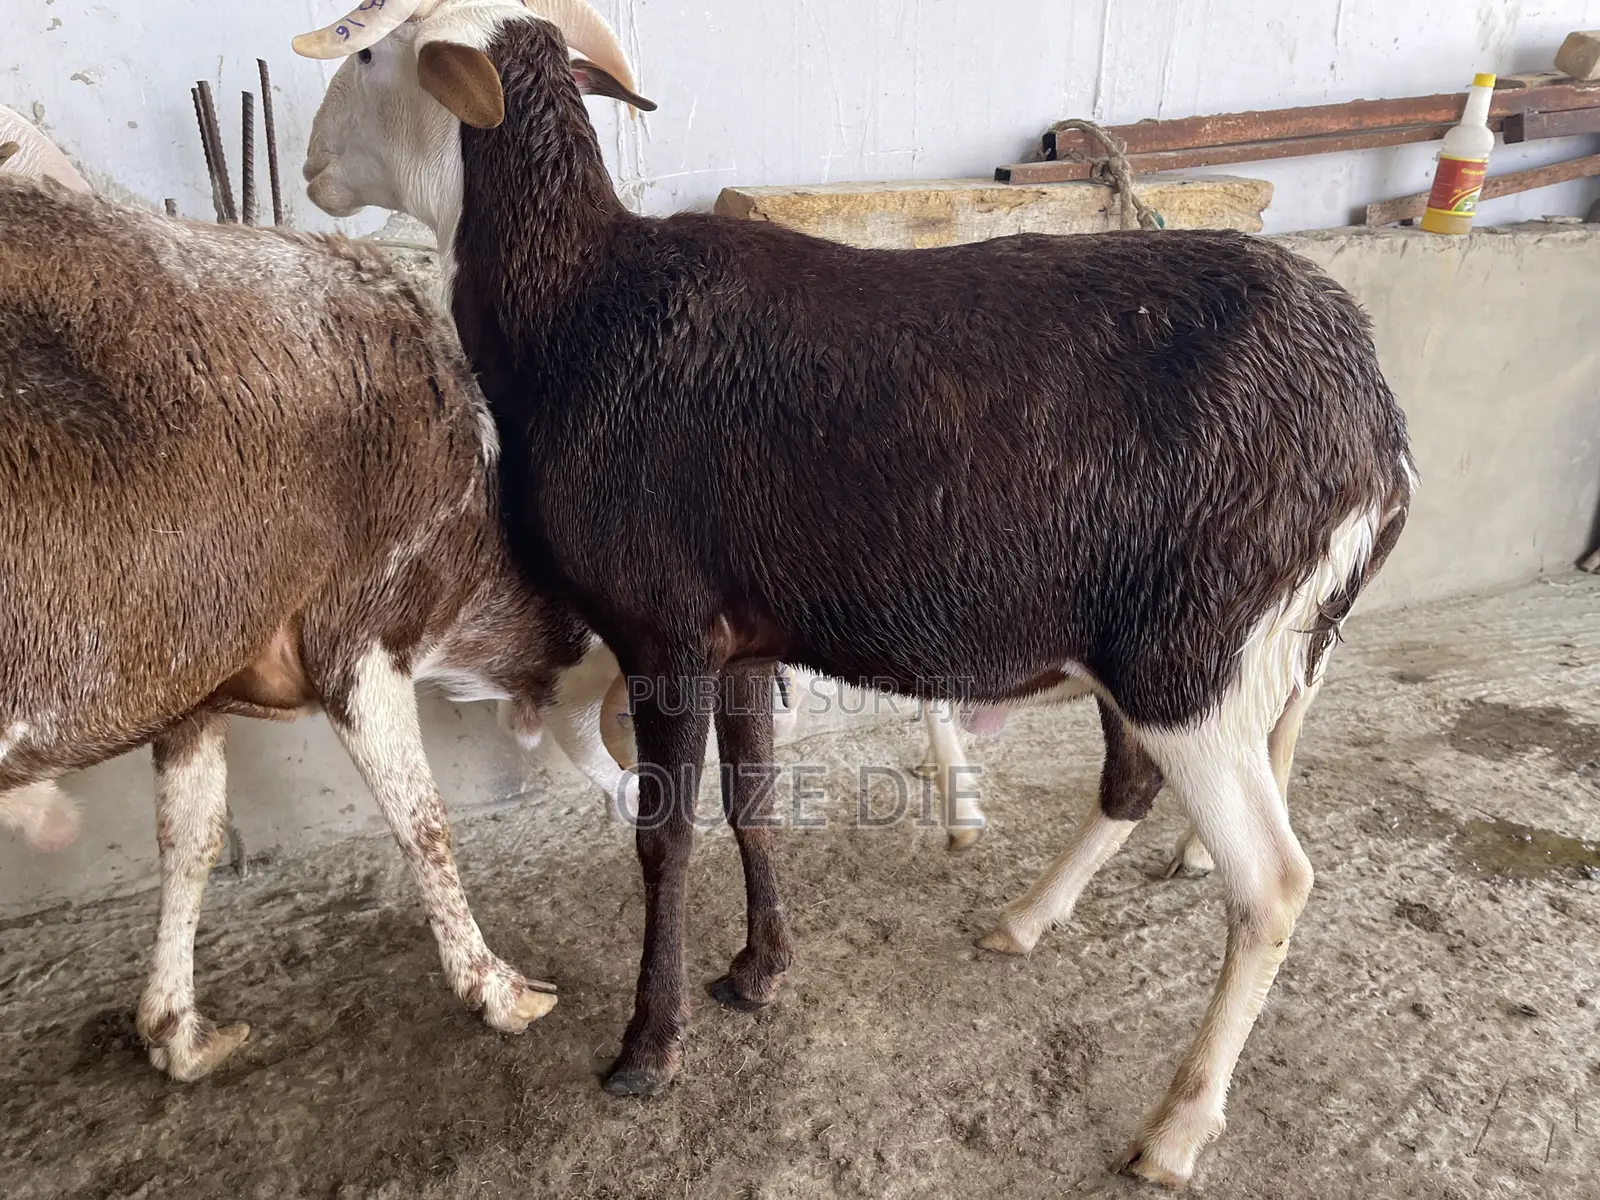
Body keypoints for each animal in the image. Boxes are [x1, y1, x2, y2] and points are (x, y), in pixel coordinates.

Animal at [0, 174, 635, 1082]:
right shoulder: (362, 635)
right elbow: (422, 818)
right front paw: (499, 988)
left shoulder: (192, 682)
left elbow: (190, 838)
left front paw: (178, 1030)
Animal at [293, 2, 1413, 1185]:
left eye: (372, 53)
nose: (311, 166)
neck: (577, 306)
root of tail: (1378, 431)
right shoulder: (739, 641)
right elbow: (752, 804)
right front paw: (759, 972)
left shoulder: (662, 631)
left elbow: (663, 837)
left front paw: (650, 1047)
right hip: (1170, 658)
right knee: (1135, 787)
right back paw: (1025, 921)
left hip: (1195, 660)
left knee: (1271, 884)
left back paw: (1178, 1127)